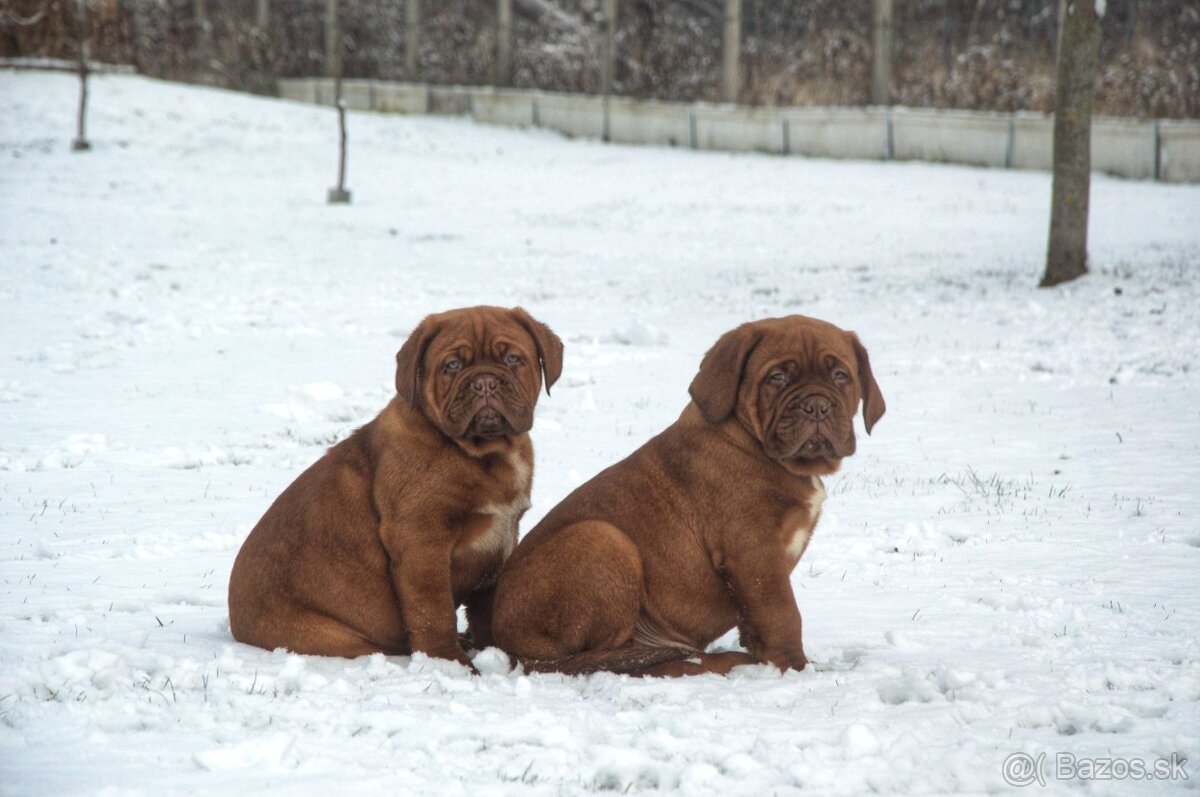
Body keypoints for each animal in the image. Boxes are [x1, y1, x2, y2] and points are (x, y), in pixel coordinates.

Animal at [228, 304, 561, 667]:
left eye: (513, 359)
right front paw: (449, 662)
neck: (487, 454)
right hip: (334, 637)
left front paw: (493, 652)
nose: (484, 382)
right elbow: (433, 612)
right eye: (452, 366)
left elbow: (487, 608)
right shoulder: (421, 541)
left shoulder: (500, 542)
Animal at [492, 314, 888, 676]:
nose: (817, 406)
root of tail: (509, 646)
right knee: (602, 658)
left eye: (840, 376)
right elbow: (783, 615)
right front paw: (796, 669)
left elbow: (759, 621)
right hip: (602, 539)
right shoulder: (755, 554)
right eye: (778, 378)